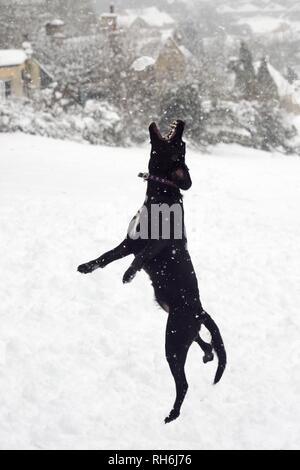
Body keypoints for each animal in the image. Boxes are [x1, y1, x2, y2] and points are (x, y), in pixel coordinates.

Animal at [78, 120, 226, 422]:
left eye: (181, 145)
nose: (182, 122)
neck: (161, 192)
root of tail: (200, 310)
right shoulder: (129, 243)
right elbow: (104, 257)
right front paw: (85, 267)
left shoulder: (156, 243)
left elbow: (142, 257)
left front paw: (128, 275)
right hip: (182, 332)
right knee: (205, 344)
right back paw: (207, 357)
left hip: (173, 340)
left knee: (184, 382)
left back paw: (173, 414)